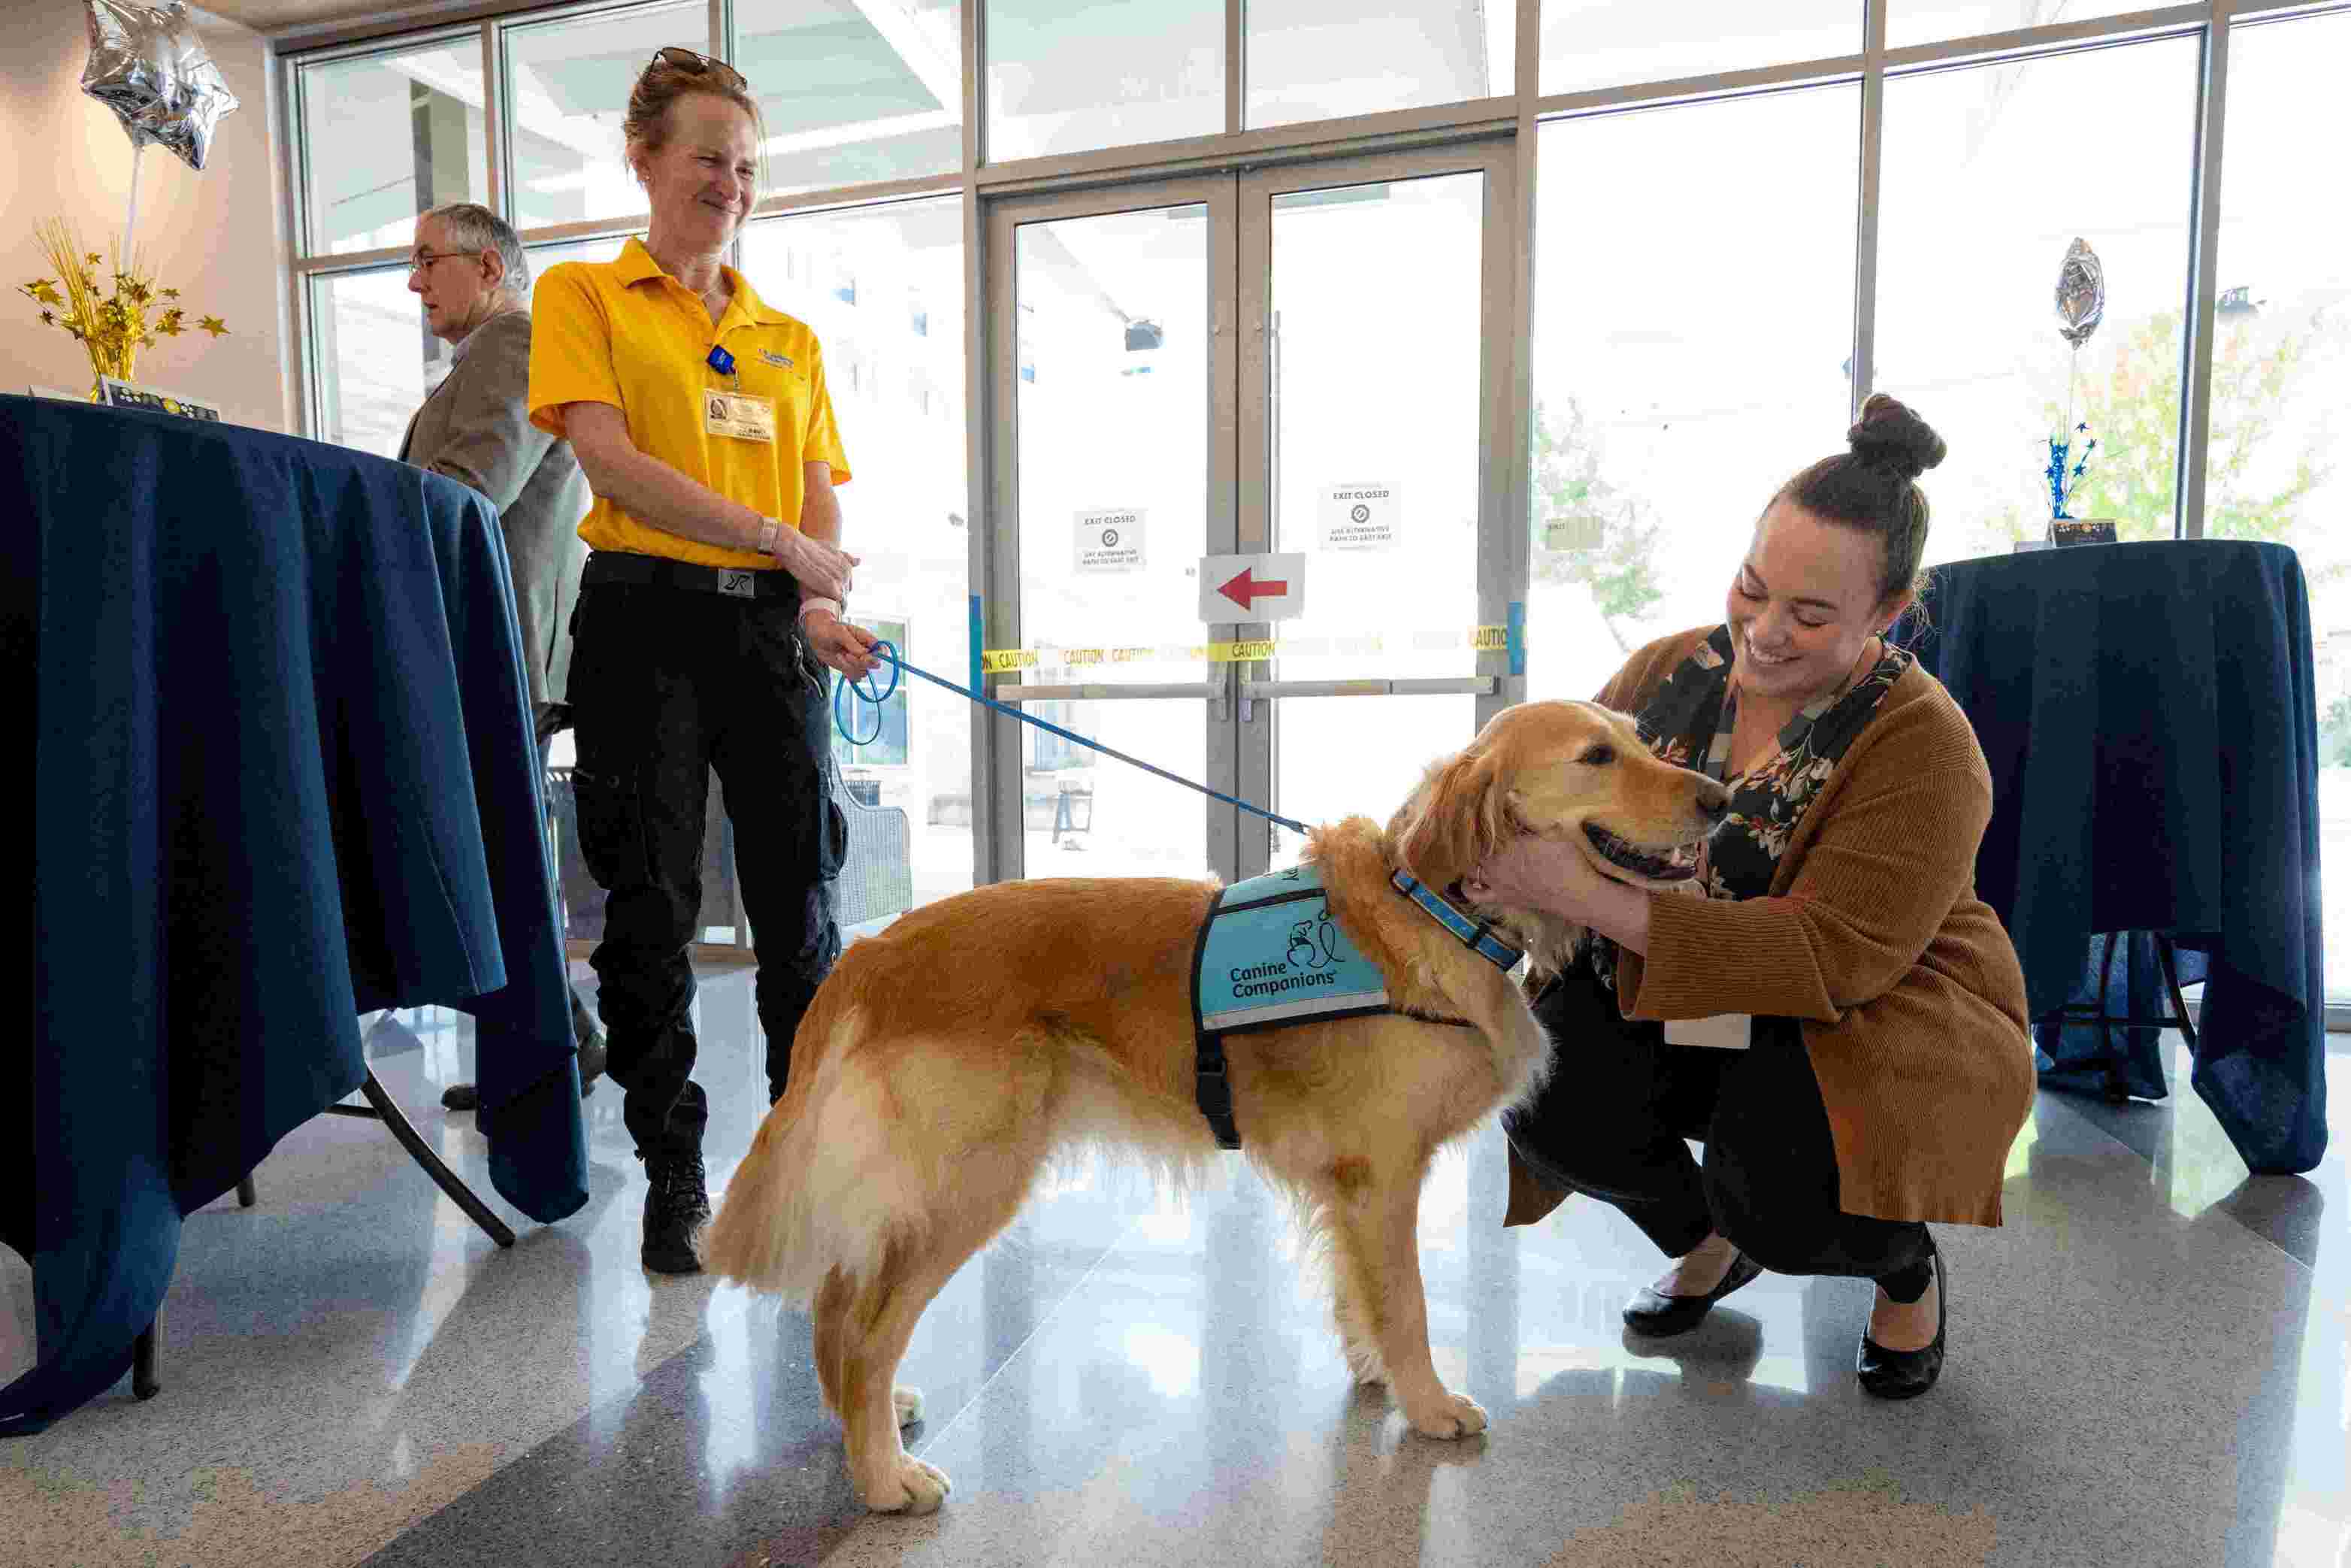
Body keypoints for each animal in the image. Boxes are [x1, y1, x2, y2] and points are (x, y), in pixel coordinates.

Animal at [695, 695, 1730, 1504]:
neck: (1435, 906)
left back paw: (868, 1417)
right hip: (970, 1181)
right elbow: (1405, 1304)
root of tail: (873, 950)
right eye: (1595, 757)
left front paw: (1373, 1374)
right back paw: (880, 1474)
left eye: (1641, 739)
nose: (1720, 800)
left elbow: (1362, 1293)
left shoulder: (1352, 1188)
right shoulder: (1383, 1173)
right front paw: (1429, 1403)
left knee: (837, 1302)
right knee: (863, 1327)